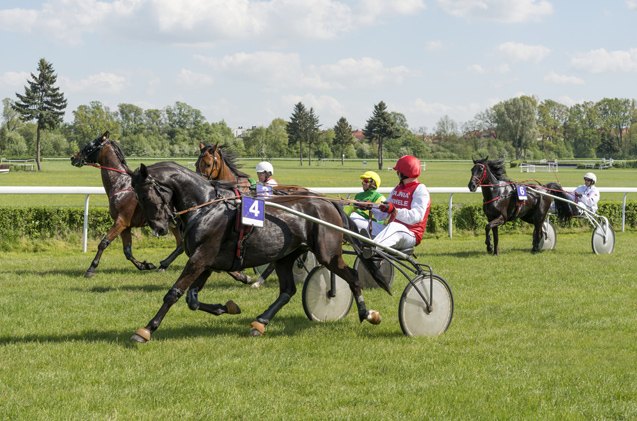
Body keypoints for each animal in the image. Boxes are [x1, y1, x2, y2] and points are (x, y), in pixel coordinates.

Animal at [70, 131, 184, 276]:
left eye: (89, 146)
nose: (73, 157)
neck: (121, 185)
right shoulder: (126, 226)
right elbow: (127, 251)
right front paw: (145, 265)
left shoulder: (121, 221)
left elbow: (104, 243)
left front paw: (91, 268)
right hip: (172, 223)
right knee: (181, 244)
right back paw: (164, 264)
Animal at [126, 161, 380, 342]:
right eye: (136, 196)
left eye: (146, 194)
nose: (159, 228)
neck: (207, 206)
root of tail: (327, 202)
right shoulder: (206, 261)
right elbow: (192, 298)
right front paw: (226, 307)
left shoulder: (201, 257)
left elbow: (174, 293)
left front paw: (146, 330)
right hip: (285, 256)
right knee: (287, 290)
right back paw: (260, 322)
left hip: (327, 253)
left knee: (352, 276)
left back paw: (367, 313)